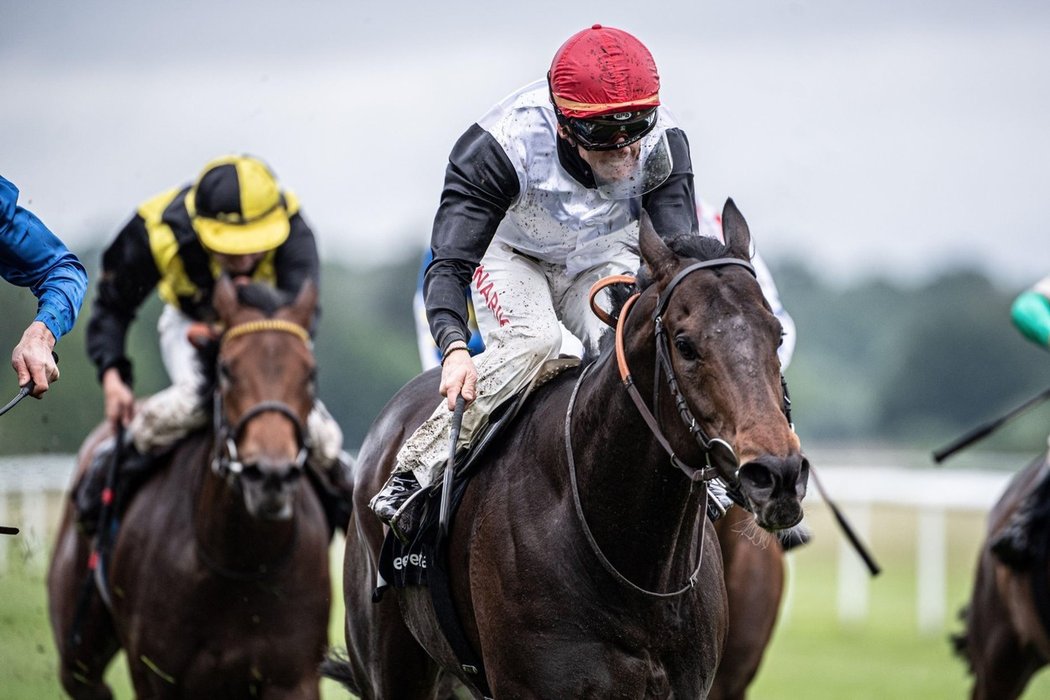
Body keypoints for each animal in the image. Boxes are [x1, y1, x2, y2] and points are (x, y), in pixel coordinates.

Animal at [46, 279, 327, 700]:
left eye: (310, 373)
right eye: (226, 369)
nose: (270, 475)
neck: (240, 562)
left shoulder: (293, 678)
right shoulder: (155, 674)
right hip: (79, 648)